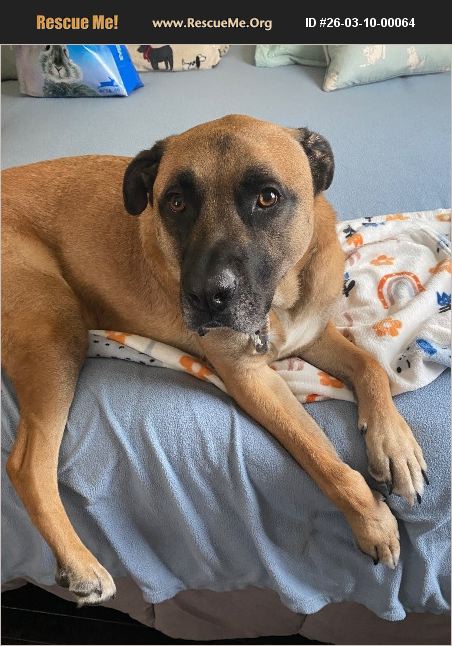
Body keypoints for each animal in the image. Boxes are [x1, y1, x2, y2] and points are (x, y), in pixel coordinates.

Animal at [2, 115, 427, 605]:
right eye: (176, 202)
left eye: (267, 197)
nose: (207, 297)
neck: (280, 300)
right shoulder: (251, 379)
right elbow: (318, 454)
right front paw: (371, 521)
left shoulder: (314, 334)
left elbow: (371, 369)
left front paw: (394, 446)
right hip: (56, 327)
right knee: (26, 464)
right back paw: (81, 565)